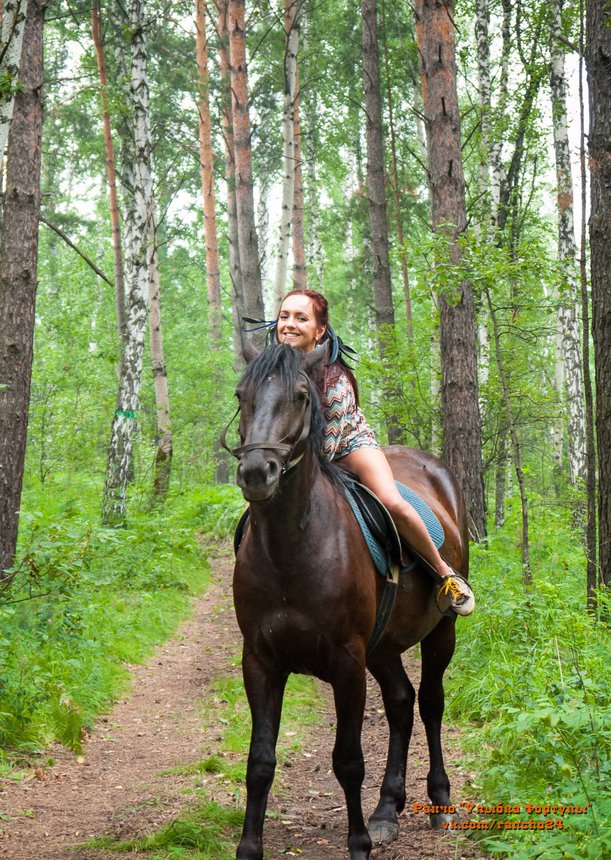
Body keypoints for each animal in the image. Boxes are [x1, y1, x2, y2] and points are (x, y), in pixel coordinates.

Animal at [227, 342, 470, 860]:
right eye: (241, 394)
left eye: (302, 396)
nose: (257, 472)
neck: (291, 550)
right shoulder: (259, 661)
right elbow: (260, 761)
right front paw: (249, 847)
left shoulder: (346, 662)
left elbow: (348, 760)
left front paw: (358, 844)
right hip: (383, 647)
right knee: (400, 702)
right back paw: (386, 809)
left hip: (440, 632)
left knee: (430, 702)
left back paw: (439, 801)